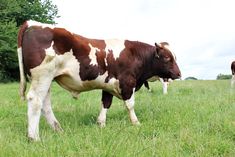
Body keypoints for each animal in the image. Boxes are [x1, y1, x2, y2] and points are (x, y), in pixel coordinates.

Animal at [17, 19, 182, 141]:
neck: (134, 54)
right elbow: (130, 105)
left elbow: (105, 103)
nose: (179, 74)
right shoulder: (128, 83)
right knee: (35, 101)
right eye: (167, 58)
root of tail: (31, 23)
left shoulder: (108, 84)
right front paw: (136, 123)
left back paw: (58, 129)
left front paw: (101, 124)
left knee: (45, 104)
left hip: (46, 79)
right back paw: (34, 137)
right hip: (43, 76)